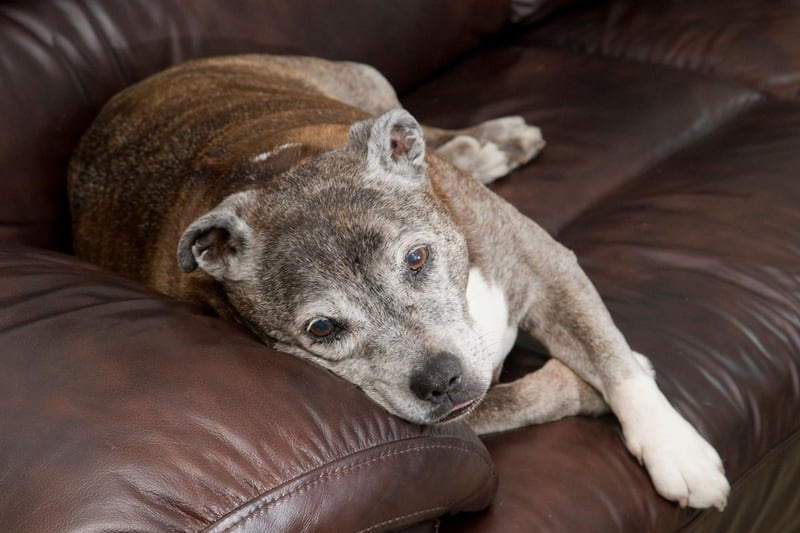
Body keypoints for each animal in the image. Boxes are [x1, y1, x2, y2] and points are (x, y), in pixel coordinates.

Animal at [70, 55, 732, 512]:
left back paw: (491, 143)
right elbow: (539, 391)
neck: (279, 172)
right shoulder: (461, 416)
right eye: (322, 328)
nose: (440, 380)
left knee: (421, 130)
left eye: (416, 259)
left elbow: (612, 360)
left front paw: (674, 448)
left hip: (364, 81)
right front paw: (593, 387)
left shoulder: (549, 267)